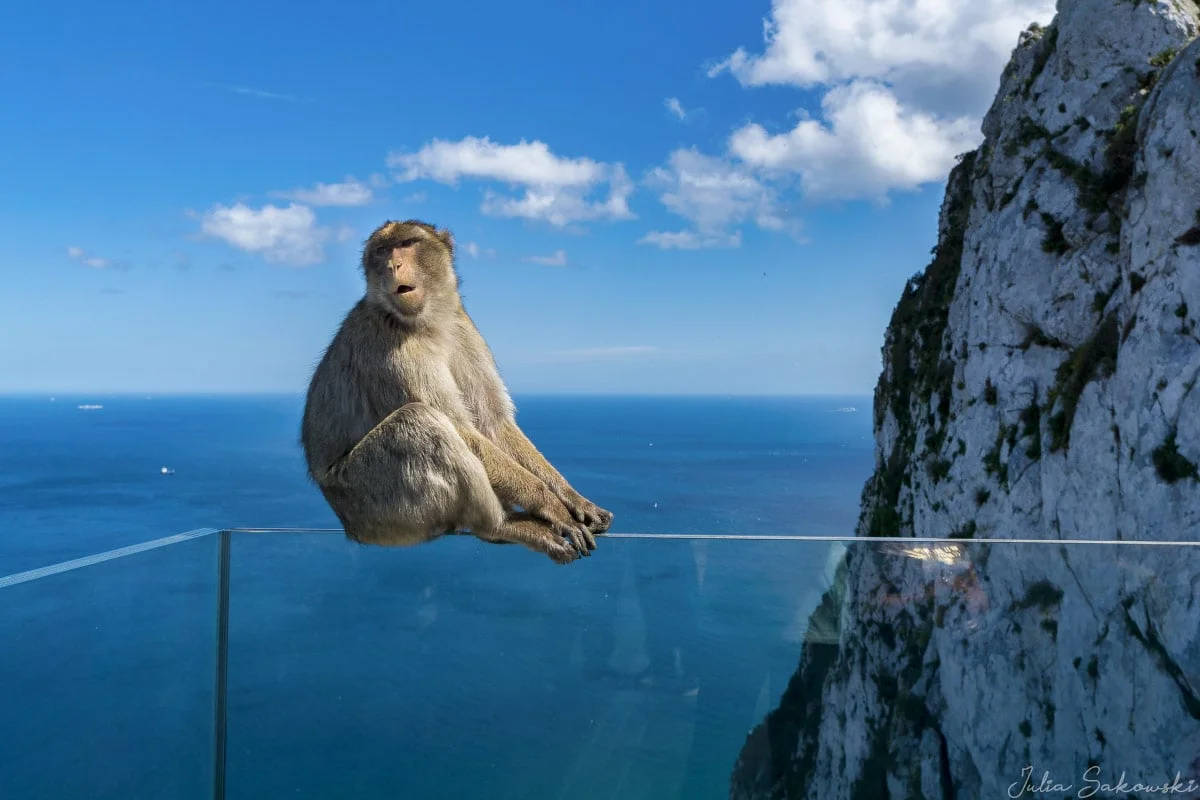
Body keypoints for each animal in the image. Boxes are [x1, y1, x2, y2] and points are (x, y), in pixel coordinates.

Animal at [300, 219, 613, 564]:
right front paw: (551, 506)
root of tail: (349, 526)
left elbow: (492, 423)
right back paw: (499, 526)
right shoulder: (391, 351)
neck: (428, 323)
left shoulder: (463, 329)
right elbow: (462, 429)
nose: (393, 265)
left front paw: (574, 499)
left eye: (407, 244)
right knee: (421, 421)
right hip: (371, 501)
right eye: (381, 251)